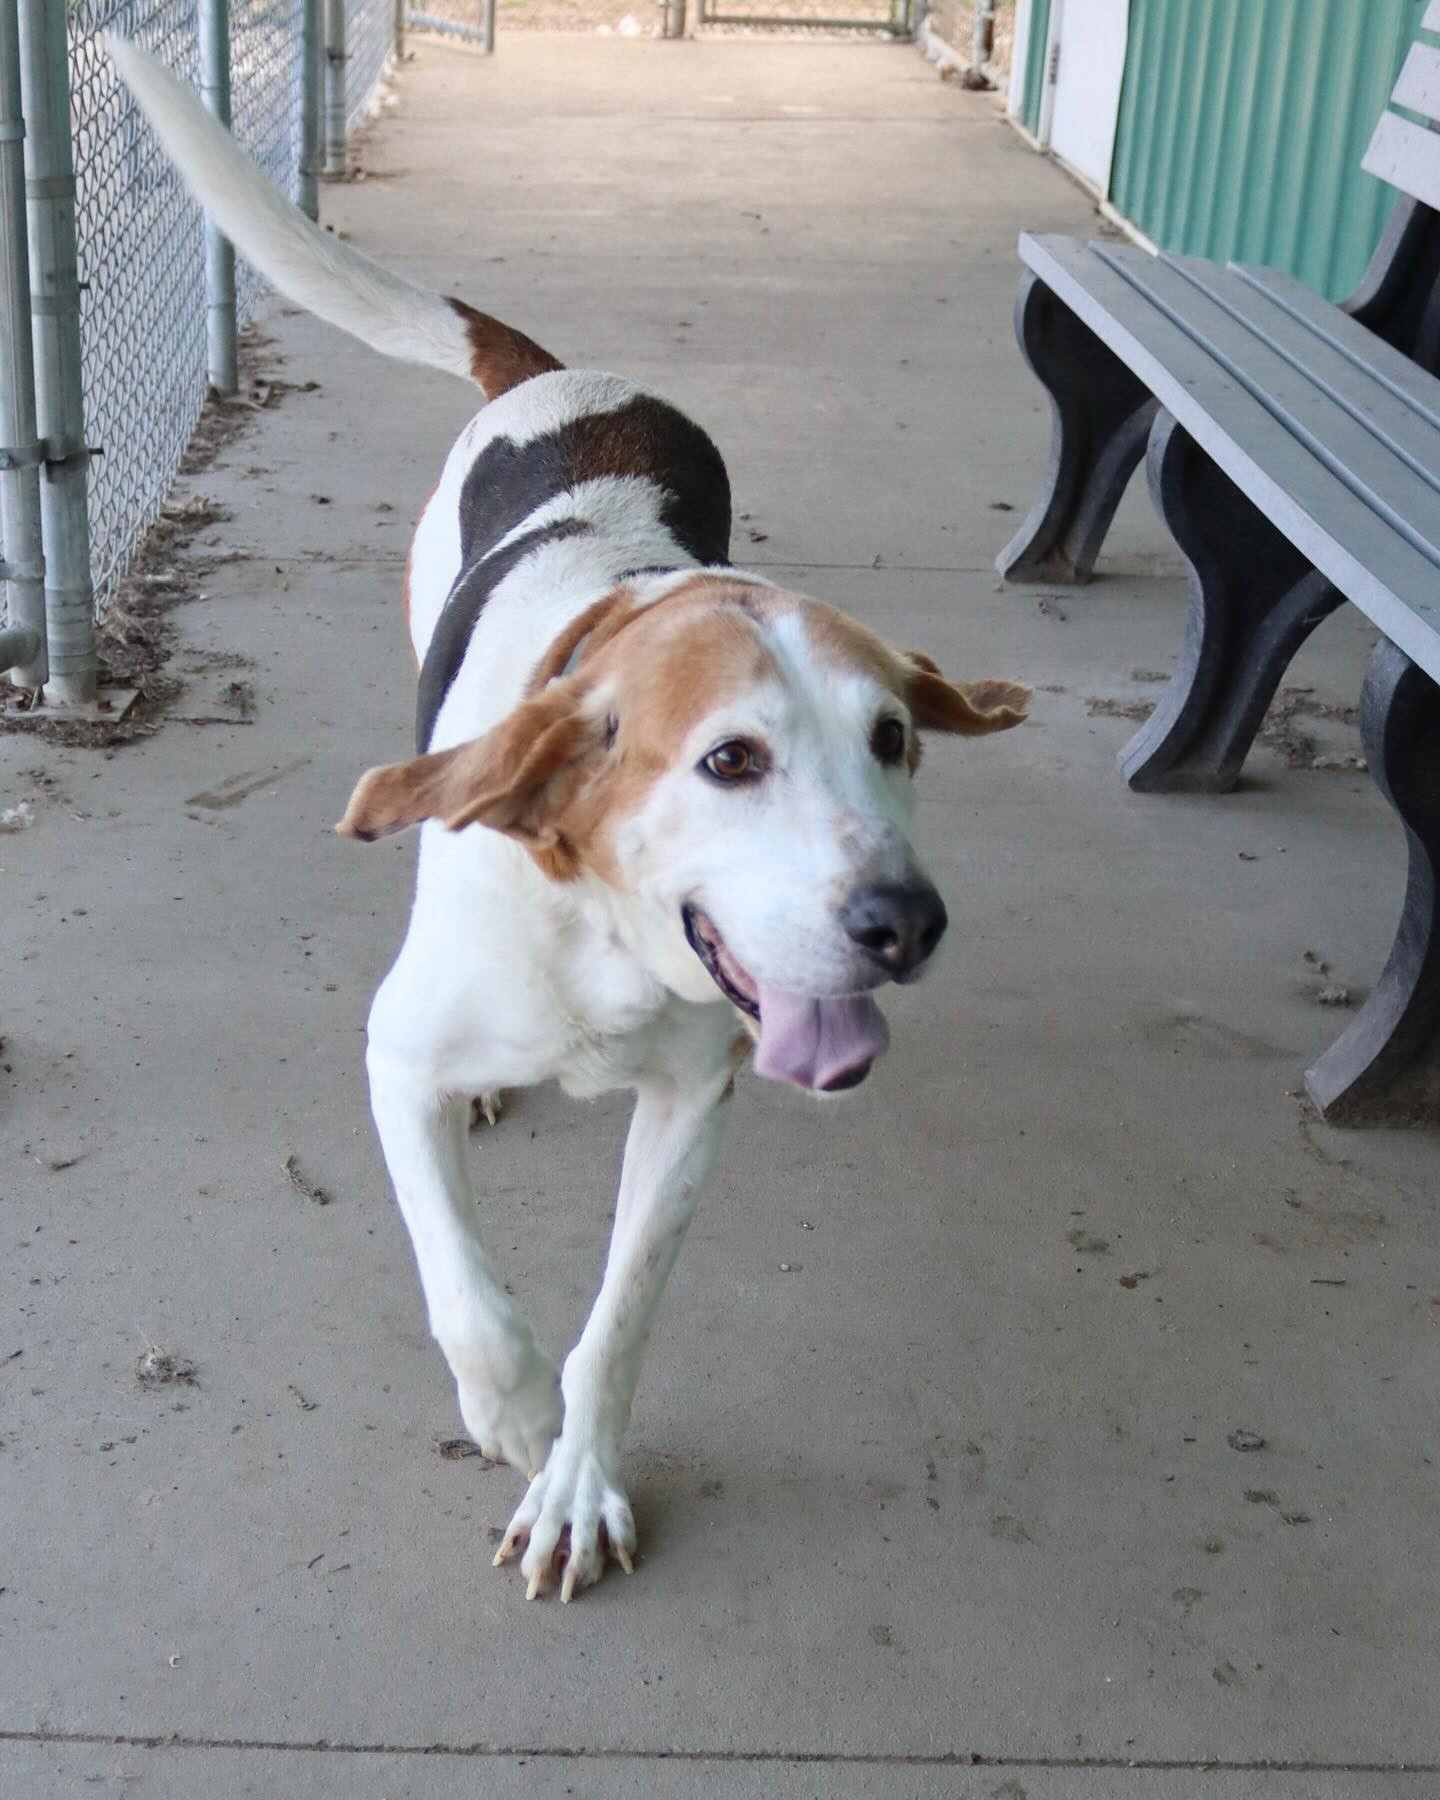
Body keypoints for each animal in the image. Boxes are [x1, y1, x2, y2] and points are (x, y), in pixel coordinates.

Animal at [117, 35, 1029, 1605]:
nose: (905, 926)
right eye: (730, 761)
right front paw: (512, 1417)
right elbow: (469, 1295)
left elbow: (620, 1321)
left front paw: (576, 1478)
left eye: (894, 740)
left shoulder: (694, 1108)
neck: (603, 940)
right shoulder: (393, 1062)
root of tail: (566, 377)